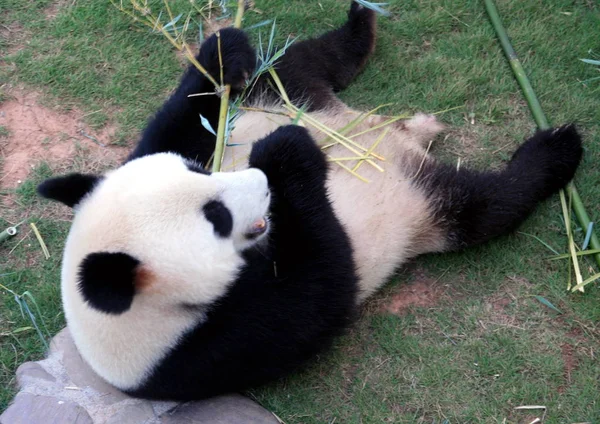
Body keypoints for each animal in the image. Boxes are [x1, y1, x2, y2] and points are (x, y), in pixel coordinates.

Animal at [36, 1, 580, 402]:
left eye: (201, 173)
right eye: (217, 218)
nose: (258, 178)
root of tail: (394, 139)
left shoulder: (178, 144)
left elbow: (181, 121)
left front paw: (225, 53)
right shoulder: (213, 349)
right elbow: (320, 285)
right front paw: (289, 154)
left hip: (278, 90)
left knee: (307, 56)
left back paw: (356, 24)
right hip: (425, 203)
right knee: (489, 204)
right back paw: (556, 149)